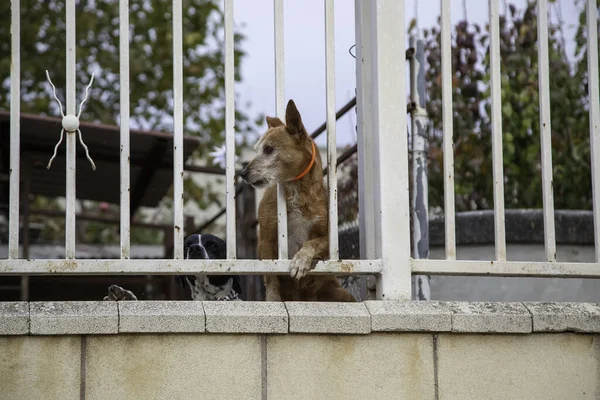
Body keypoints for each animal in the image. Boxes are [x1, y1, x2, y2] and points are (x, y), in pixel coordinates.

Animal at [239, 99, 354, 300]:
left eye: (268, 149)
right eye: (255, 150)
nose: (242, 173)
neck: (298, 190)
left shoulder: (329, 239)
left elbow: (311, 243)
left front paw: (300, 261)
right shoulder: (266, 238)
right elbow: (270, 275)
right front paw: (273, 299)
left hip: (341, 293)